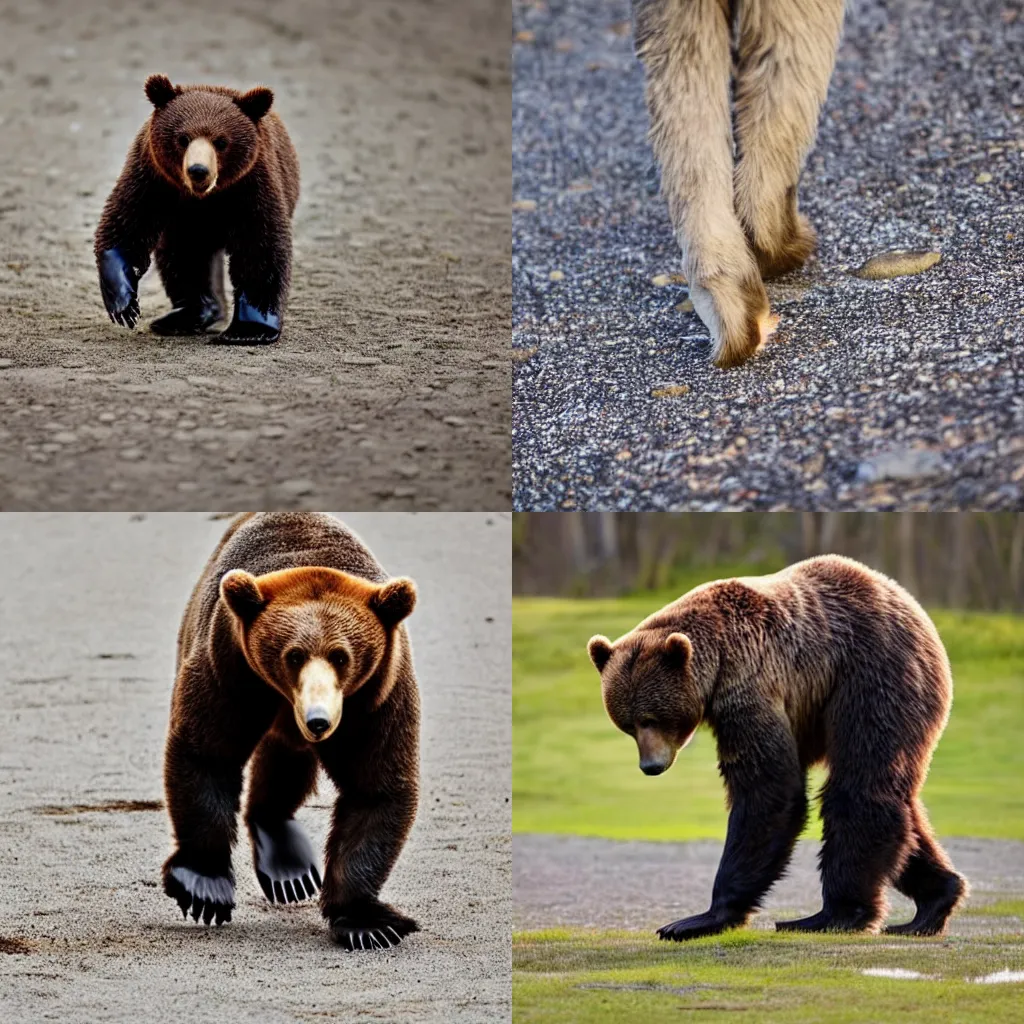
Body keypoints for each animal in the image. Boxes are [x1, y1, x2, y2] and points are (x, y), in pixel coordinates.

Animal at [95, 74, 299, 344]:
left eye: (221, 141)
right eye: (183, 138)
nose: (198, 170)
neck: (204, 198)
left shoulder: (252, 185)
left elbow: (259, 246)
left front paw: (250, 329)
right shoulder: (152, 177)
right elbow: (127, 225)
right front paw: (125, 306)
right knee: (183, 255)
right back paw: (185, 316)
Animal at [161, 512, 417, 950]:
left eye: (342, 656)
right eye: (293, 655)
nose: (319, 720)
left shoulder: (377, 695)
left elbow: (376, 785)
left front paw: (370, 923)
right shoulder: (229, 668)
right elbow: (207, 753)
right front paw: (204, 887)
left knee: (285, 759)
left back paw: (289, 869)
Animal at [589, 557, 962, 937]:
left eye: (652, 718)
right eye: (628, 724)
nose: (650, 766)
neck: (716, 661)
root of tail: (907, 601)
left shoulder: (751, 684)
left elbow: (769, 787)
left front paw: (700, 918)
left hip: (873, 675)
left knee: (859, 786)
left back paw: (830, 915)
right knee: (900, 810)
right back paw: (932, 904)